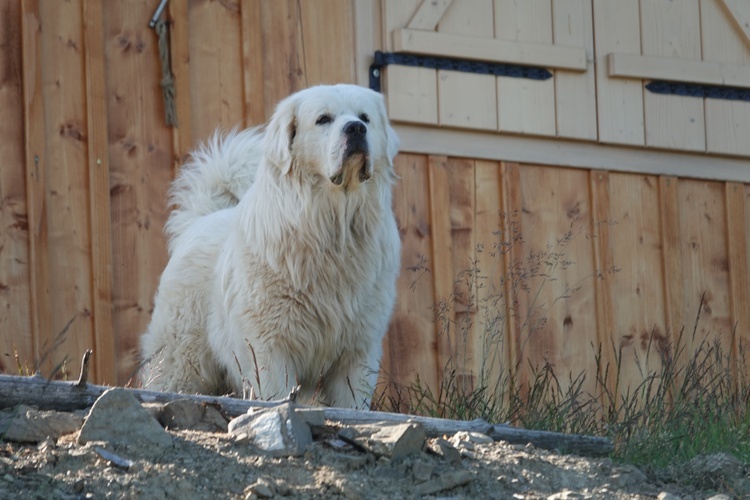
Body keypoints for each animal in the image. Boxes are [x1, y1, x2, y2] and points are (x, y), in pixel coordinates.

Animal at [139, 84, 402, 408]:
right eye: (323, 119)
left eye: (365, 118)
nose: (355, 128)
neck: (332, 230)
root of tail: (200, 221)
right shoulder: (269, 347)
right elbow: (276, 395)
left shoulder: (357, 351)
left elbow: (350, 403)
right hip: (182, 361)